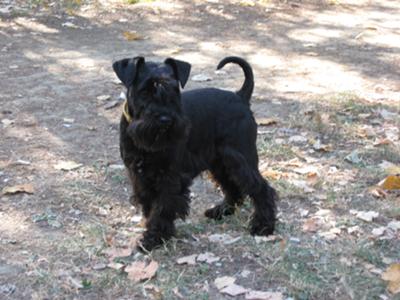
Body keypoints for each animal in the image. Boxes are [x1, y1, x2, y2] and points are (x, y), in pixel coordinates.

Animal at [111, 55, 276, 251]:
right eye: (144, 91)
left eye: (174, 90)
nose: (165, 119)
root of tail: (240, 96)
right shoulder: (139, 175)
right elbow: (150, 205)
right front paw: (152, 231)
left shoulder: (171, 177)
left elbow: (162, 207)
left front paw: (154, 238)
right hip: (221, 163)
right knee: (233, 187)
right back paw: (222, 211)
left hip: (241, 159)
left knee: (261, 188)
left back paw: (263, 225)